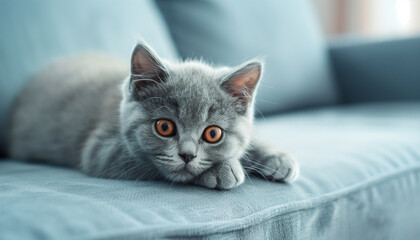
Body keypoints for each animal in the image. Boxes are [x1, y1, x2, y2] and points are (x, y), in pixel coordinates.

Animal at [7, 42, 298, 189]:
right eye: (164, 127)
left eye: (213, 133)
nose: (187, 155)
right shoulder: (102, 151)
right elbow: (153, 165)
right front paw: (223, 170)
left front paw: (277, 157)